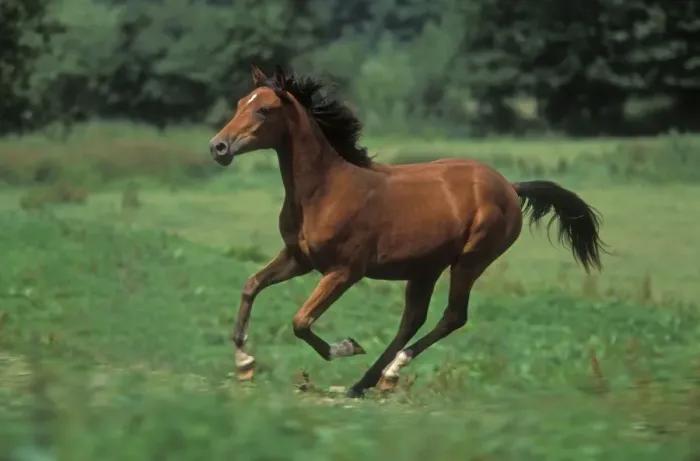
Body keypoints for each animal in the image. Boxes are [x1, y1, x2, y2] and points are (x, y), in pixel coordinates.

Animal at [208, 63, 606, 398]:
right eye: (241, 103)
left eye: (263, 110)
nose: (218, 146)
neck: (325, 190)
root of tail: (509, 185)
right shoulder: (298, 258)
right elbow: (251, 285)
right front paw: (244, 363)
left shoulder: (344, 271)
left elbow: (300, 321)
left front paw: (346, 346)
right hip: (424, 269)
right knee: (413, 320)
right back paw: (366, 382)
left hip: (470, 261)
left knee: (452, 317)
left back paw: (389, 372)